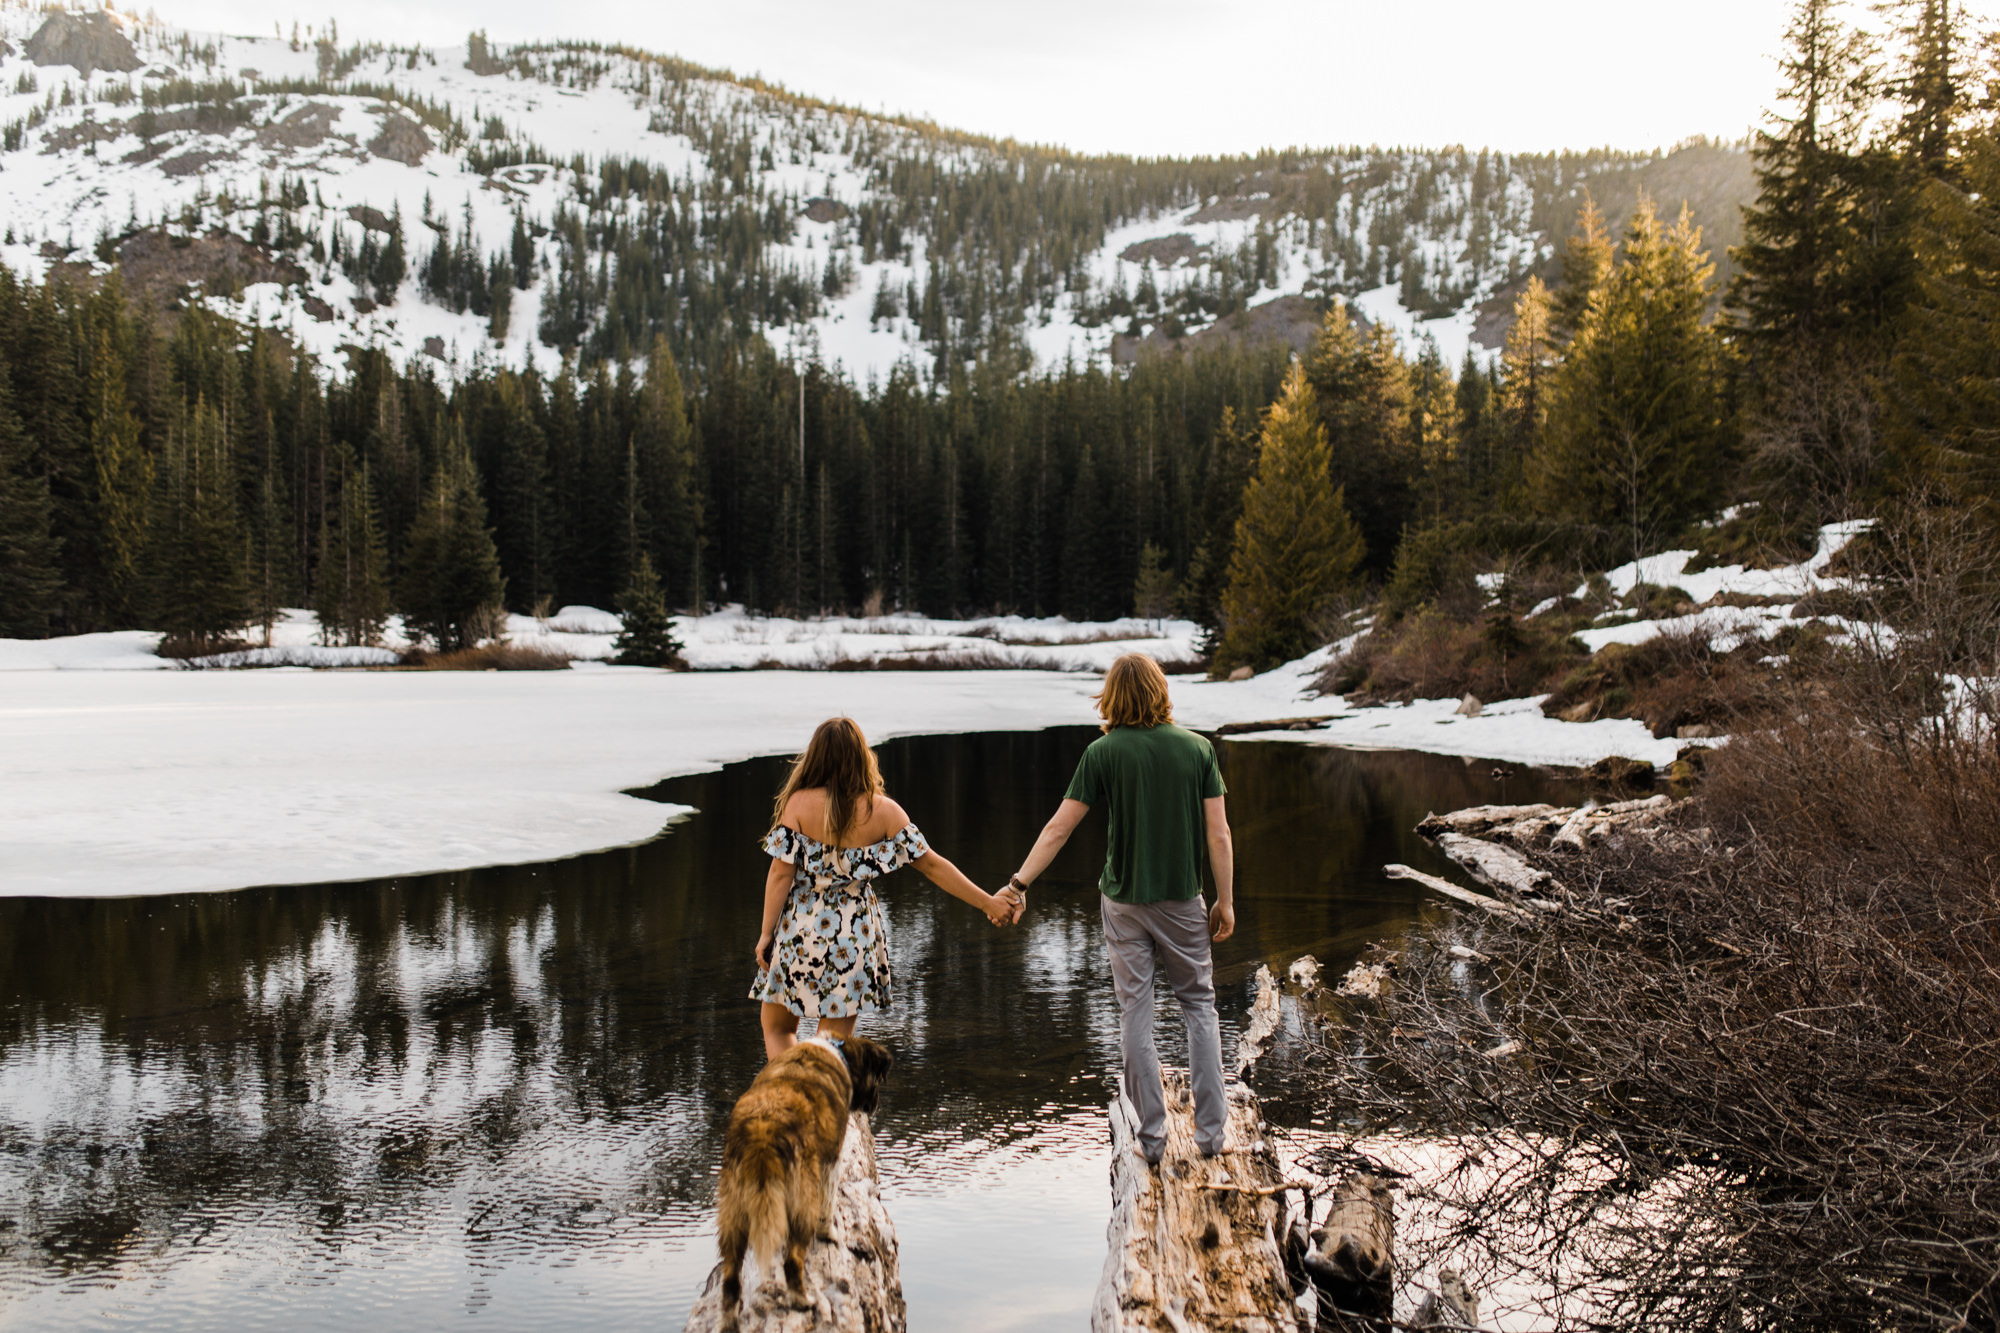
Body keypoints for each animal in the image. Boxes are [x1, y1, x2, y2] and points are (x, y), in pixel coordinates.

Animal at [720, 1032, 892, 1320]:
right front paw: (829, 1233)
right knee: (793, 1260)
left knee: (730, 1281)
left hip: (732, 1212)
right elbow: (828, 1203)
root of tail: (763, 1131)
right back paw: (802, 1299)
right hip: (801, 1198)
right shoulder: (830, 1160)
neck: (839, 1052)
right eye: (878, 1080)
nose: (877, 1105)